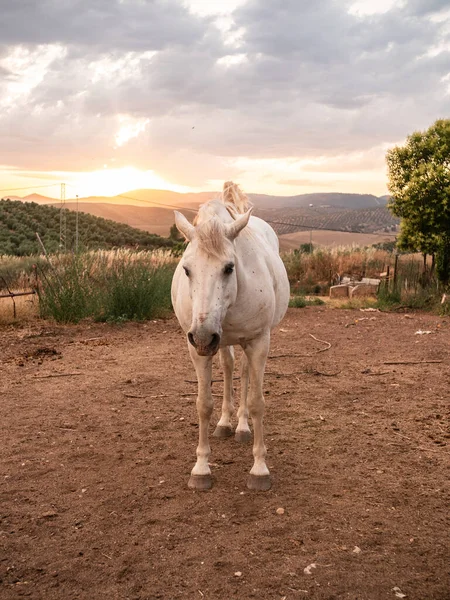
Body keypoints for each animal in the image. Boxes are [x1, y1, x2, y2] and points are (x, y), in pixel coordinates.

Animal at [171, 180, 290, 490]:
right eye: (186, 269)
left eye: (229, 267)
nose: (203, 336)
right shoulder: (197, 349)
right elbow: (203, 404)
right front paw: (201, 469)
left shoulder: (258, 342)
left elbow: (258, 403)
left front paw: (259, 469)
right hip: (221, 342)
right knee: (228, 367)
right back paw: (226, 423)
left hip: (241, 342)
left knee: (245, 373)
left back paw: (242, 427)